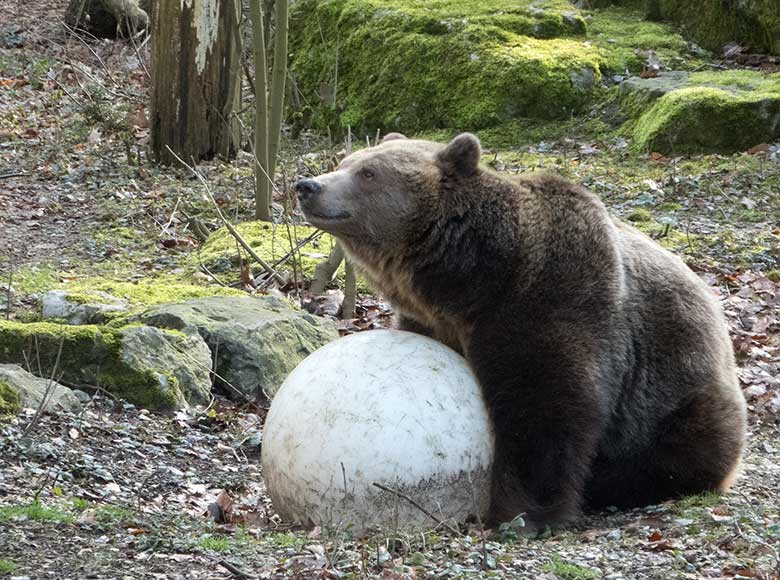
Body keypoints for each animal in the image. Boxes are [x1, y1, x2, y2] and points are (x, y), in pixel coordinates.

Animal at [294, 134, 748, 532]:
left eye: (369, 173)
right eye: (346, 161)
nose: (307, 186)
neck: (475, 280)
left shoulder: (550, 302)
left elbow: (547, 410)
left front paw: (521, 513)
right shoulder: (433, 321)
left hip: (674, 397)